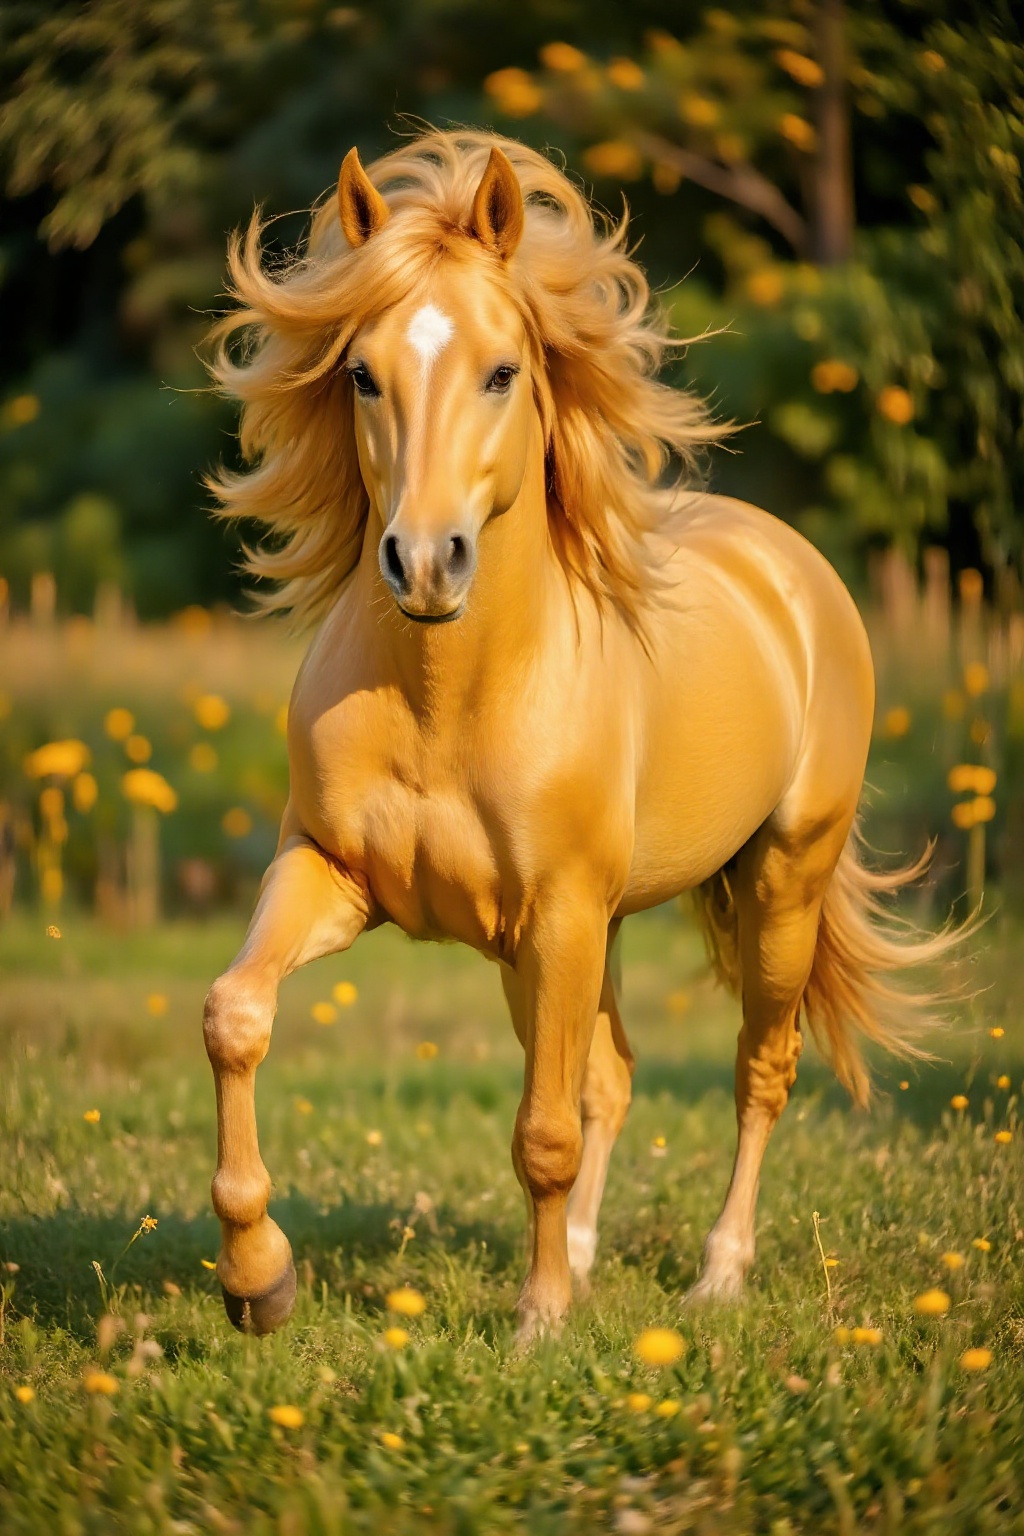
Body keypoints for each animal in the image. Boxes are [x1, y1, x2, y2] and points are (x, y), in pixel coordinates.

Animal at [204, 129, 955, 1342]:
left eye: (503, 371)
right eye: (361, 374)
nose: (425, 562)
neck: (451, 698)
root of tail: (788, 565)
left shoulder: (559, 915)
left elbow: (542, 1133)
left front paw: (539, 1322)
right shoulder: (336, 877)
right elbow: (236, 1015)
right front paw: (257, 1278)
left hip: (777, 887)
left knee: (759, 1068)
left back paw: (717, 1275)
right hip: (575, 939)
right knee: (612, 1071)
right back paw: (597, 1257)